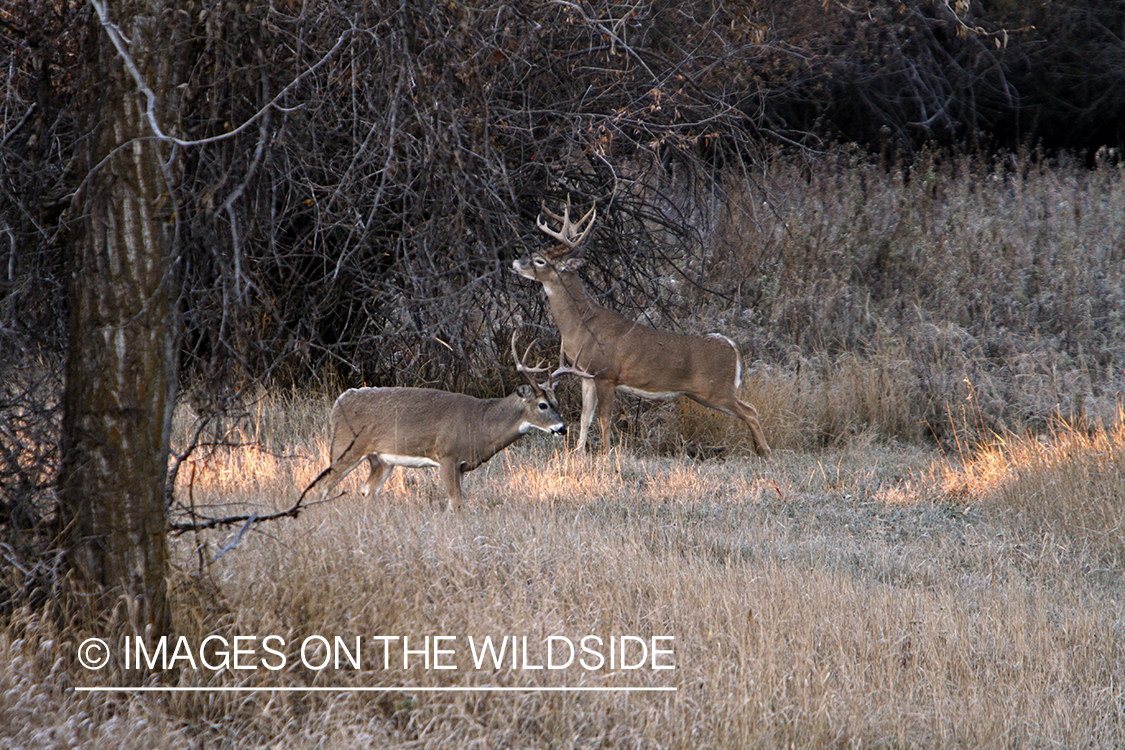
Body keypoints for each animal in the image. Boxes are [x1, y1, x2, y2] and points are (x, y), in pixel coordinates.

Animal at [306, 335, 575, 511]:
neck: (481, 424)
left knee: (367, 490)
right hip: (346, 446)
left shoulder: (462, 466)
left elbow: (456, 502)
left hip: (381, 459)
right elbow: (456, 502)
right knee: (323, 486)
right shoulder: (447, 455)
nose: (562, 428)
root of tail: (339, 402)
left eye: (557, 401)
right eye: (543, 405)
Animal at [512, 197, 771, 457]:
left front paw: (606, 454)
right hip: (706, 393)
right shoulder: (586, 375)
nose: (515, 262)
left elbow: (605, 419)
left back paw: (765, 453)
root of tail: (731, 346)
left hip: (716, 389)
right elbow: (586, 417)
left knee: (750, 411)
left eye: (540, 260)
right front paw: (578, 453)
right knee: (749, 410)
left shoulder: (606, 374)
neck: (581, 324)